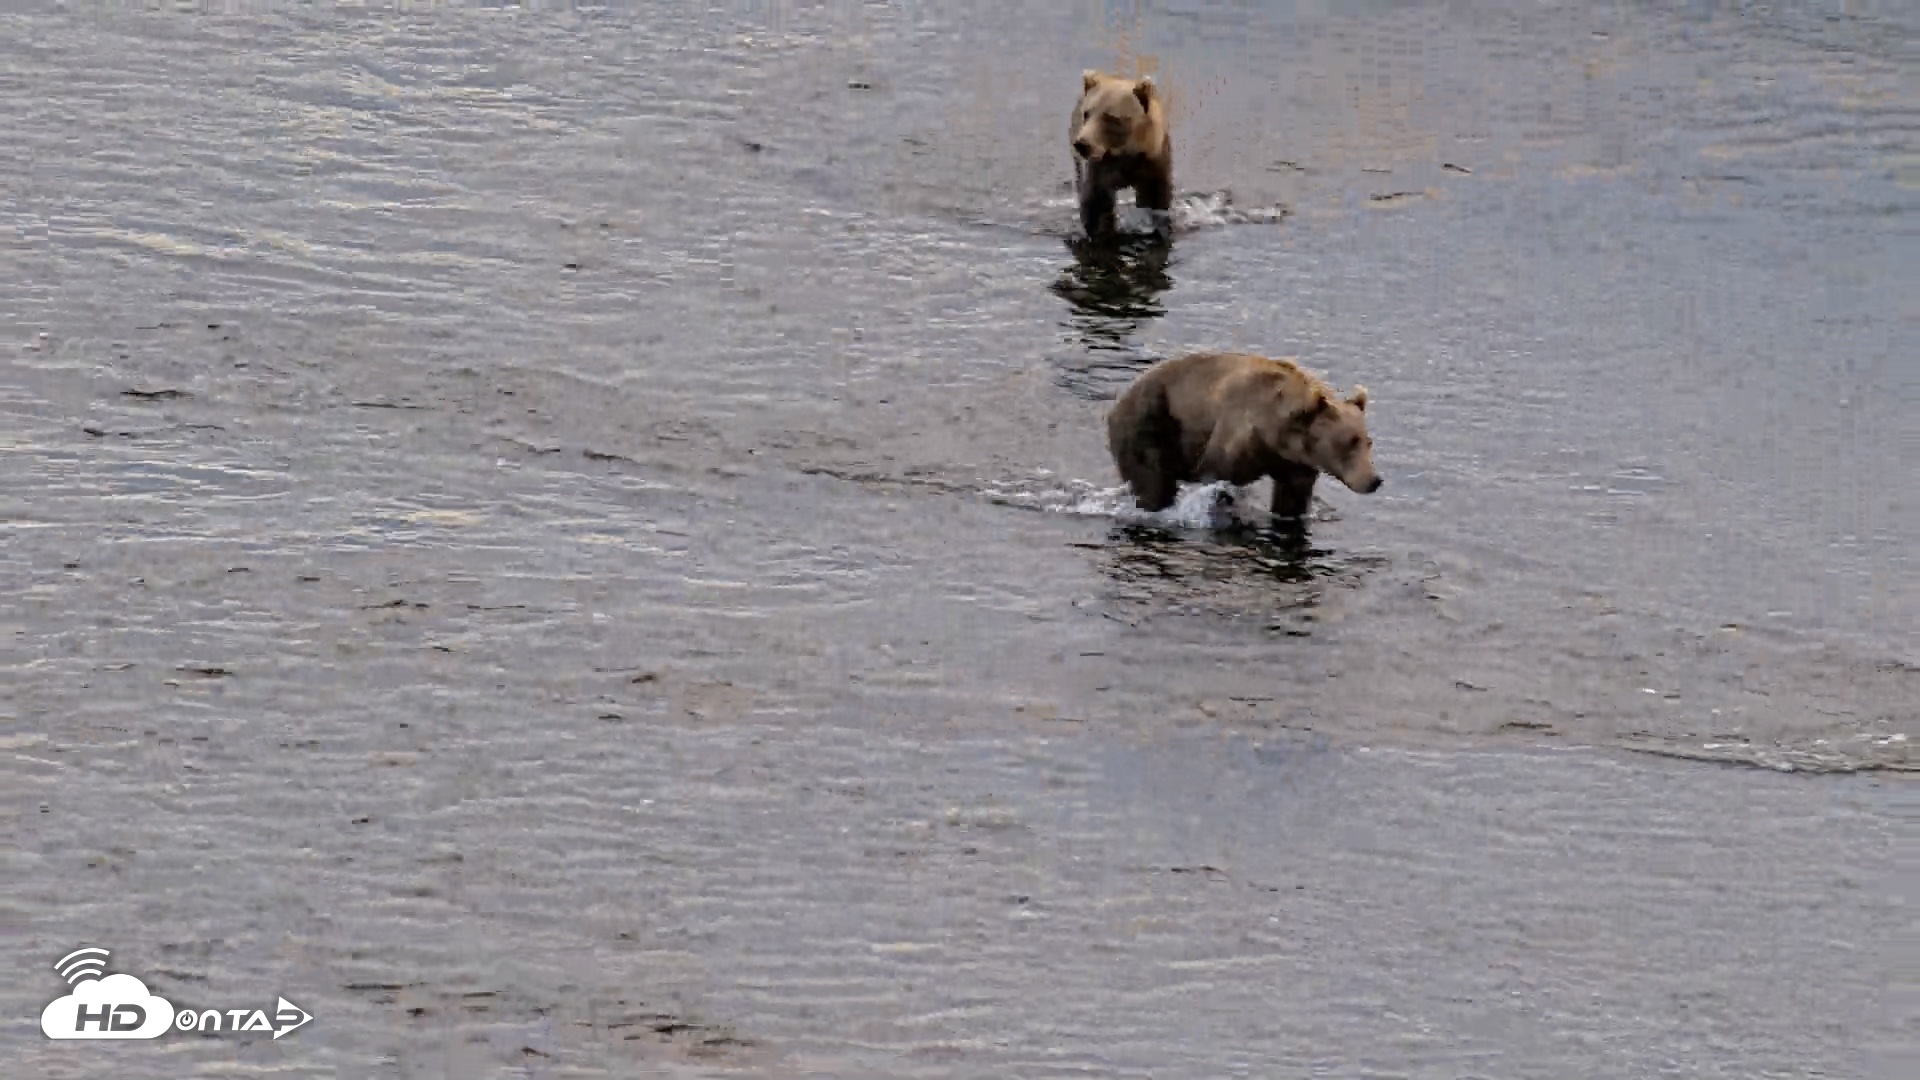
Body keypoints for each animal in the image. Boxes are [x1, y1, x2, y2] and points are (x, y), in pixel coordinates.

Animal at [1071, 70, 1174, 239]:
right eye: (1086, 114)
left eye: (1111, 117)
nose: (1082, 144)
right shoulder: (1099, 170)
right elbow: (1096, 203)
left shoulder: (1154, 163)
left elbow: (1156, 201)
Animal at [1106, 352, 1381, 517]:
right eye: (1348, 442)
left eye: (1368, 441)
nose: (1374, 480)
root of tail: (1118, 400)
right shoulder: (1235, 436)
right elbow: (1217, 478)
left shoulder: (1296, 464)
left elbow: (1292, 498)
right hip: (1152, 421)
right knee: (1153, 480)